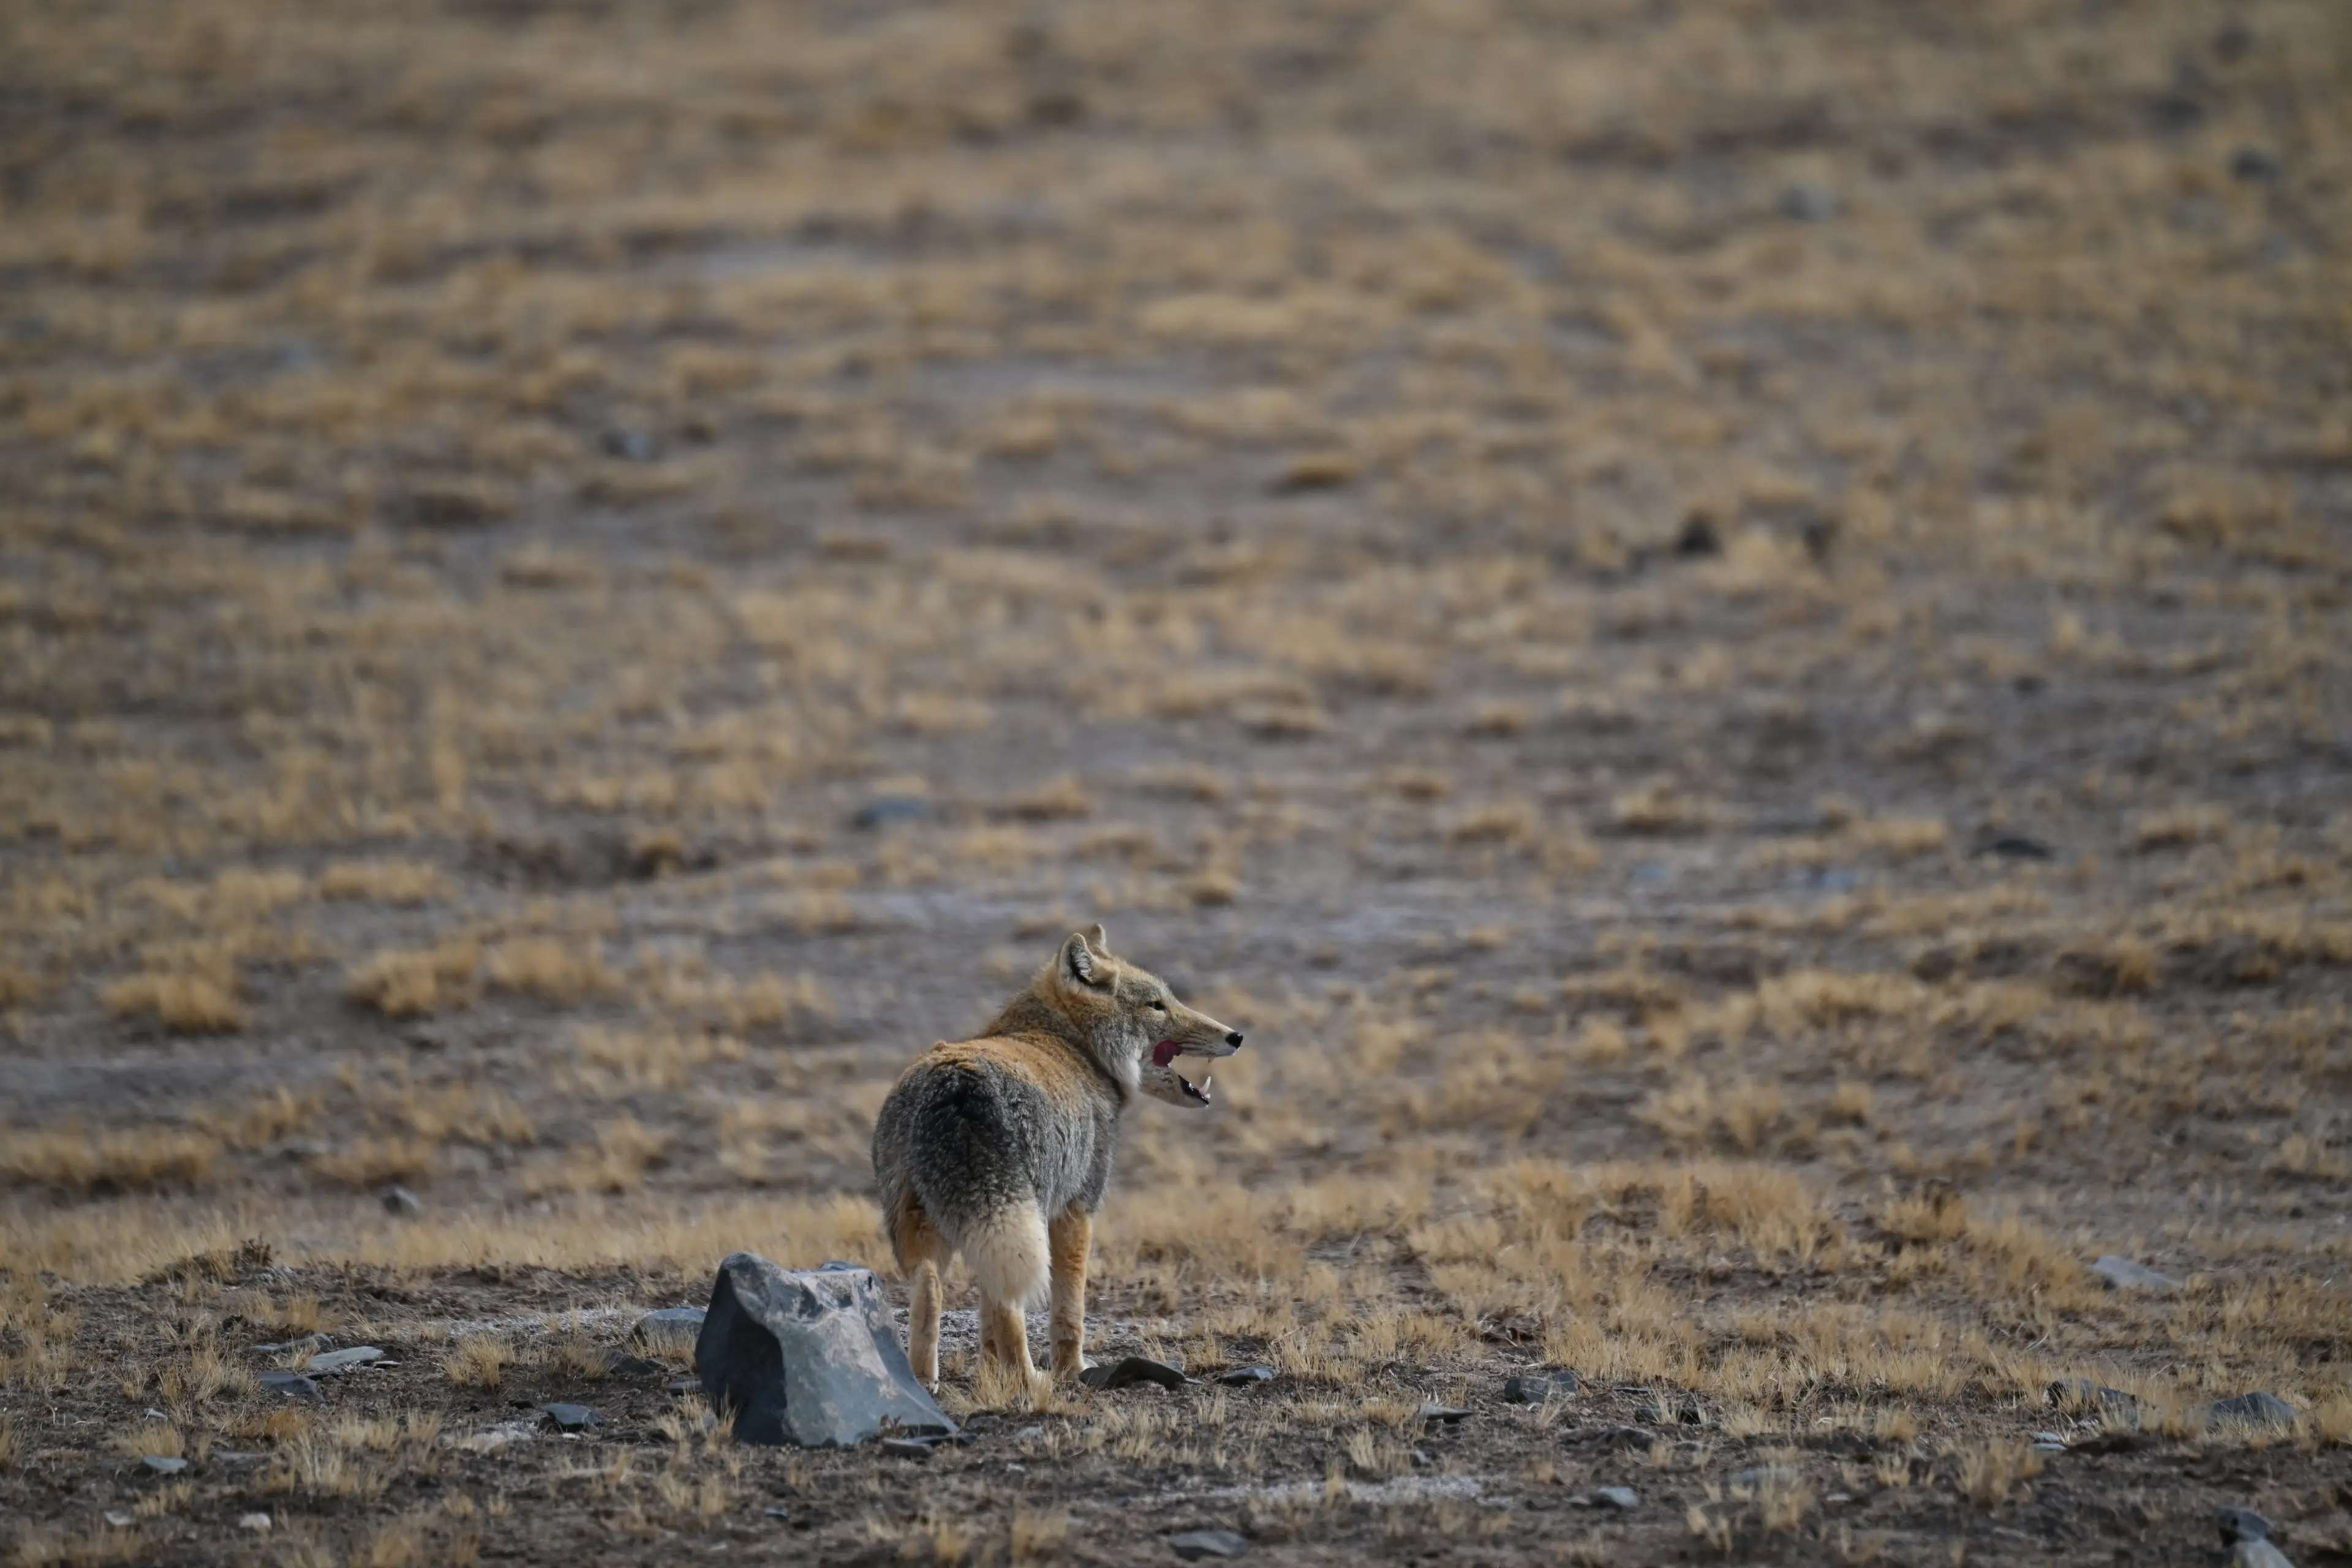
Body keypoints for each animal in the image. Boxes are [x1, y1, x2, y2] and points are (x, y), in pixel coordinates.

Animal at [870, 924, 1243, 1388]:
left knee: (933, 1290)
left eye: (1169, 1000)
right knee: (1010, 1308)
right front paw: (1072, 1369)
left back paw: (923, 1382)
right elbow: (1070, 1309)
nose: (1236, 1036)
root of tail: (957, 1082)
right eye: (1156, 1006)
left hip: (933, 1228)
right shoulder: (1075, 1211)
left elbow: (986, 1317)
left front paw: (989, 1374)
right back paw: (1030, 1380)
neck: (1071, 1044)